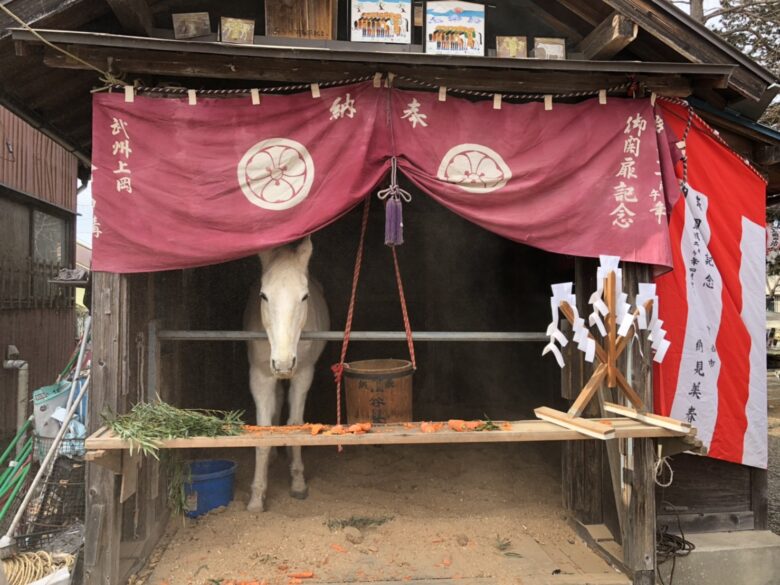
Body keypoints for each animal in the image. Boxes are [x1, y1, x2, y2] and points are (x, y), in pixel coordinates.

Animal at [243, 236, 329, 512]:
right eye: (263, 295)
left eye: (304, 296)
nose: (282, 363)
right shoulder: (260, 376)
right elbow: (262, 429)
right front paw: (257, 498)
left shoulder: (303, 374)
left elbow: (295, 424)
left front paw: (298, 483)